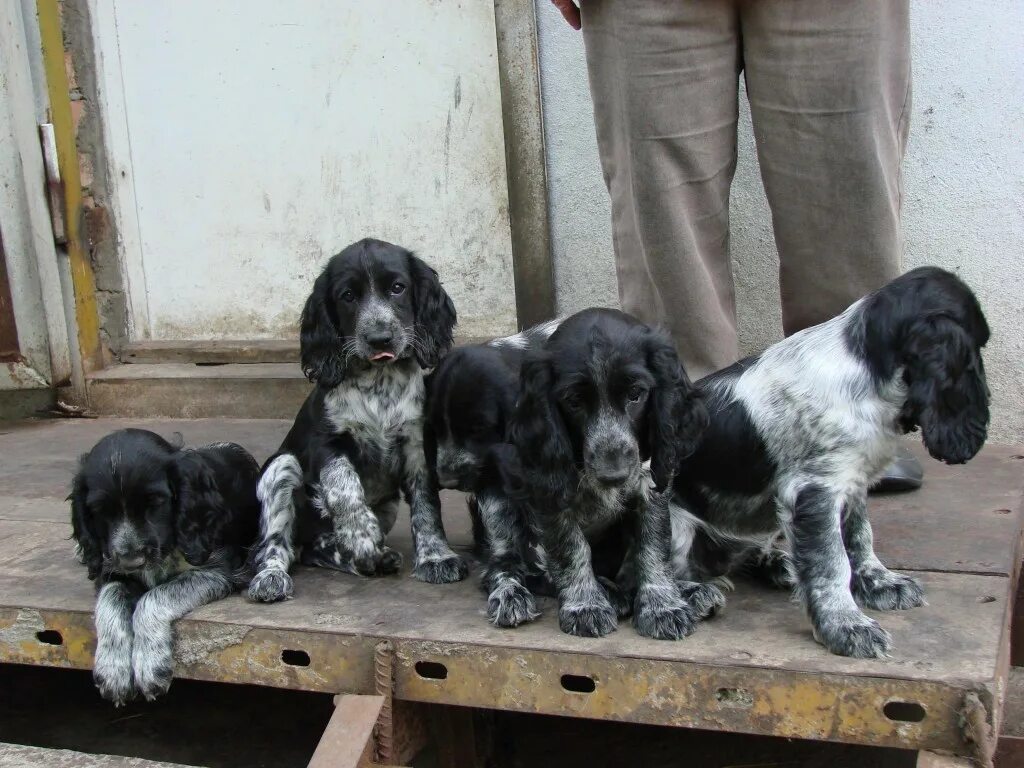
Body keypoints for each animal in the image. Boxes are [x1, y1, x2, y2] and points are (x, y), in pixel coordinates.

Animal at [69, 430, 258, 708]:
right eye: (100, 510)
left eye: (155, 502)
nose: (132, 561)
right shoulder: (111, 570)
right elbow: (110, 599)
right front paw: (112, 670)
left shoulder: (219, 569)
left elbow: (154, 597)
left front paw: (150, 665)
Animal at [249, 237, 466, 606]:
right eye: (347, 296)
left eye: (397, 288)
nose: (380, 339)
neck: (378, 381)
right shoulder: (326, 442)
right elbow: (343, 487)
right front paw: (361, 533)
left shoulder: (416, 445)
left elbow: (427, 505)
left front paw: (436, 557)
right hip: (281, 466)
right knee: (278, 545)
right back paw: (272, 577)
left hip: (387, 506)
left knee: (314, 549)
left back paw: (375, 558)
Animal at [507, 309, 716, 638]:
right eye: (573, 401)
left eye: (635, 394)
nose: (613, 476)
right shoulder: (549, 493)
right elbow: (571, 548)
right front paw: (585, 605)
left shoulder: (650, 485)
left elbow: (652, 547)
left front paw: (662, 606)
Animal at [671, 268, 991, 659]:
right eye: (978, 341)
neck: (862, 369)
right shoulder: (815, 490)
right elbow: (831, 561)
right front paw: (846, 626)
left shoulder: (851, 482)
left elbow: (860, 537)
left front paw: (879, 583)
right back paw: (693, 593)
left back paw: (780, 563)